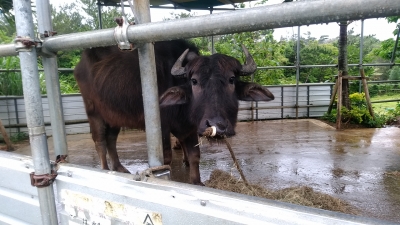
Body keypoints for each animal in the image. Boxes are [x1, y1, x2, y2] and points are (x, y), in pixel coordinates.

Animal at [74, 40, 276, 185]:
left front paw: (196, 181)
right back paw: (104, 169)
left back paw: (118, 167)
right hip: (94, 113)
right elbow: (167, 158)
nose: (217, 126)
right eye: (194, 81)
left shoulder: (191, 128)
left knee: (111, 140)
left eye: (232, 79)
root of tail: (79, 66)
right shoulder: (162, 128)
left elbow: (195, 156)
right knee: (100, 141)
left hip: (114, 116)